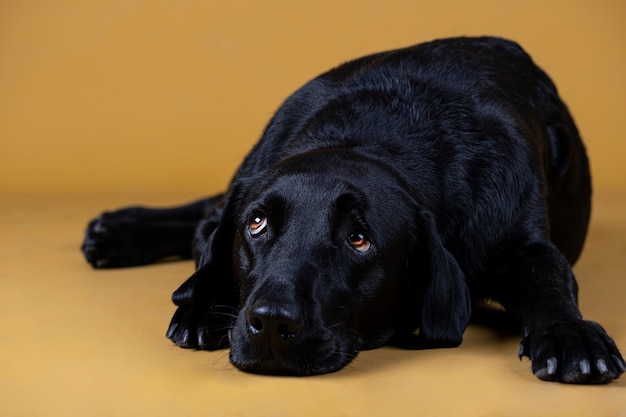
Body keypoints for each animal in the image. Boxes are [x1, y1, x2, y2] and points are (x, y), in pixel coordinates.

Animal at [83, 37, 624, 382]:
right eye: (256, 224)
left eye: (358, 239)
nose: (272, 324)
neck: (374, 134)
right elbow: (211, 241)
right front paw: (200, 306)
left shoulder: (521, 238)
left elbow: (548, 278)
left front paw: (570, 334)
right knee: (207, 214)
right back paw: (121, 234)